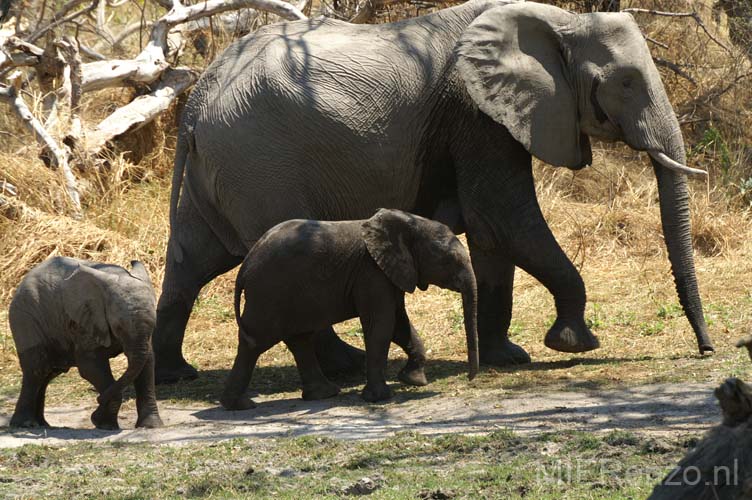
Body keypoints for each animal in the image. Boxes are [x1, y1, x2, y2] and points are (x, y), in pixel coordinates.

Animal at [9, 258, 163, 430]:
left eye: (154, 325)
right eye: (119, 327)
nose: (97, 400)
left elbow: (147, 363)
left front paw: (151, 426)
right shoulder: (85, 322)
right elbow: (90, 366)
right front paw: (104, 424)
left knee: (48, 373)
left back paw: (43, 424)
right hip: (26, 318)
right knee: (36, 370)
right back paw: (25, 424)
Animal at [154, 0, 716, 380]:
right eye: (626, 83)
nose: (707, 351)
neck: (555, 19)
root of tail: (197, 98)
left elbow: (492, 235)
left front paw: (505, 358)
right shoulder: (474, 114)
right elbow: (507, 218)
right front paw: (574, 344)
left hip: (225, 168)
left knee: (192, 260)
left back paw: (177, 373)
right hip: (260, 163)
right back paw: (347, 366)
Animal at [223, 209, 482, 408]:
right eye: (448, 261)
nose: (470, 379)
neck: (409, 222)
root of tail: (245, 266)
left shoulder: (389, 272)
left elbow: (399, 324)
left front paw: (414, 381)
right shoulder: (371, 273)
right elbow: (381, 324)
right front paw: (379, 398)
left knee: (299, 339)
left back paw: (323, 394)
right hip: (269, 293)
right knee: (256, 341)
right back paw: (241, 405)